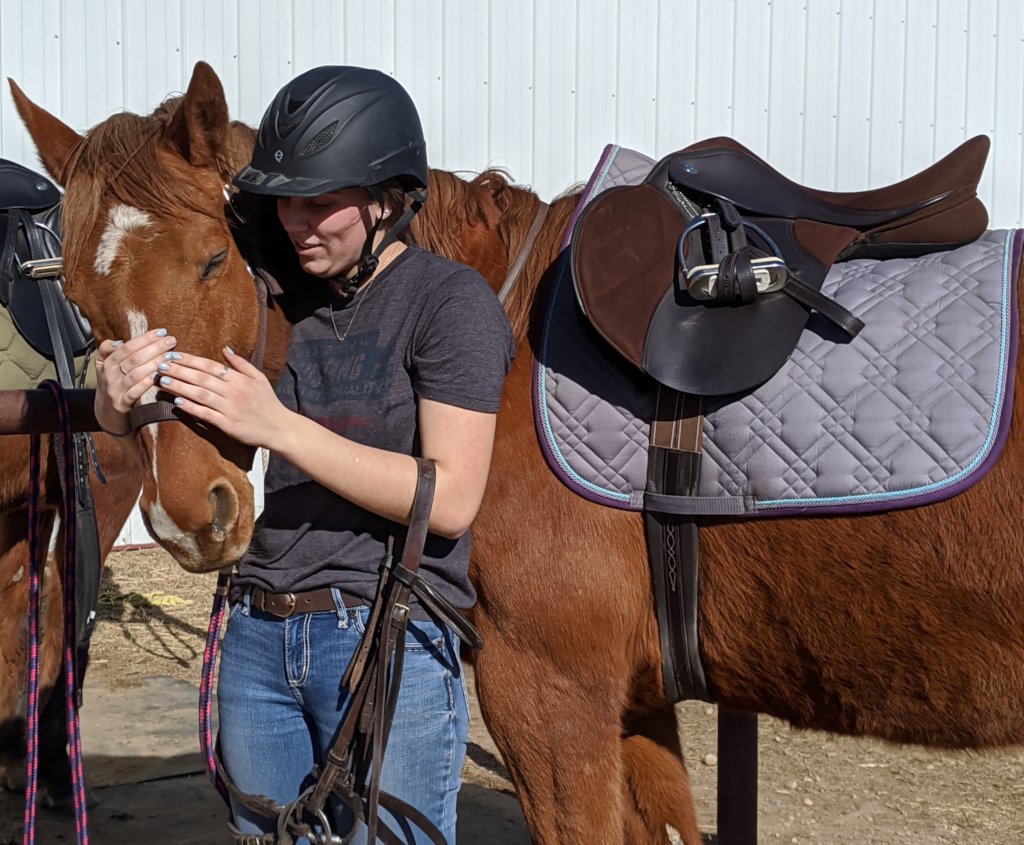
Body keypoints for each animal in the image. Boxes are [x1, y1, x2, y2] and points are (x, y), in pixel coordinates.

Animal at [16, 60, 1024, 843]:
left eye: (214, 263)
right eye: (79, 302)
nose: (188, 519)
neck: (503, 330)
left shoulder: (548, 689)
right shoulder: (632, 700)